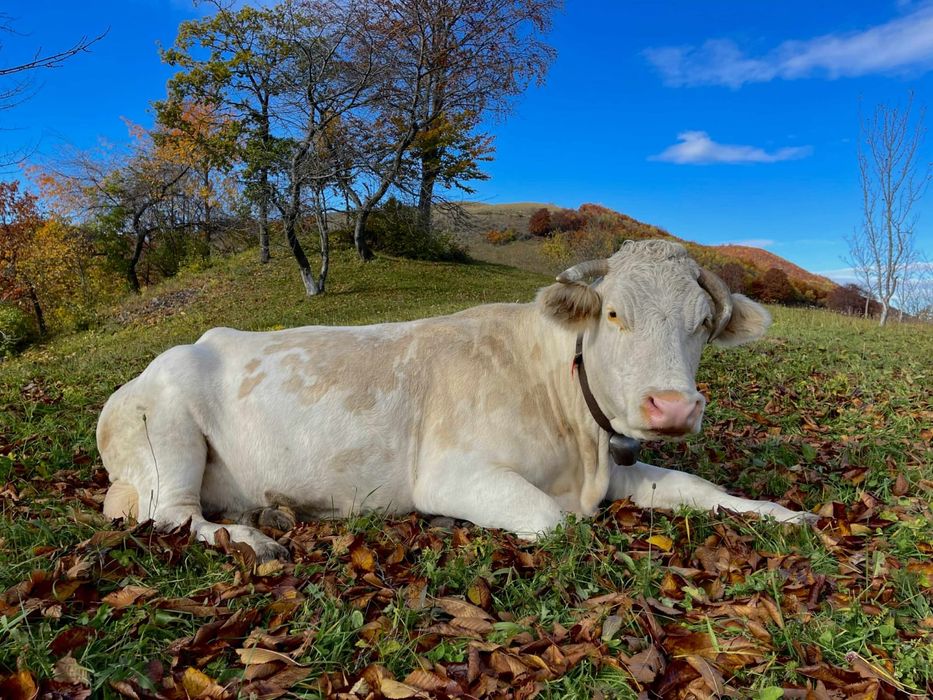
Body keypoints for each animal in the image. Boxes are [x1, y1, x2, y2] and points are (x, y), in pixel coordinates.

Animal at [98, 239, 812, 562]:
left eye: (702, 323)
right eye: (613, 314)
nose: (674, 406)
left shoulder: (616, 467)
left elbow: (698, 487)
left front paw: (782, 513)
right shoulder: (451, 474)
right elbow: (553, 520)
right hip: (168, 437)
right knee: (173, 515)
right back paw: (253, 539)